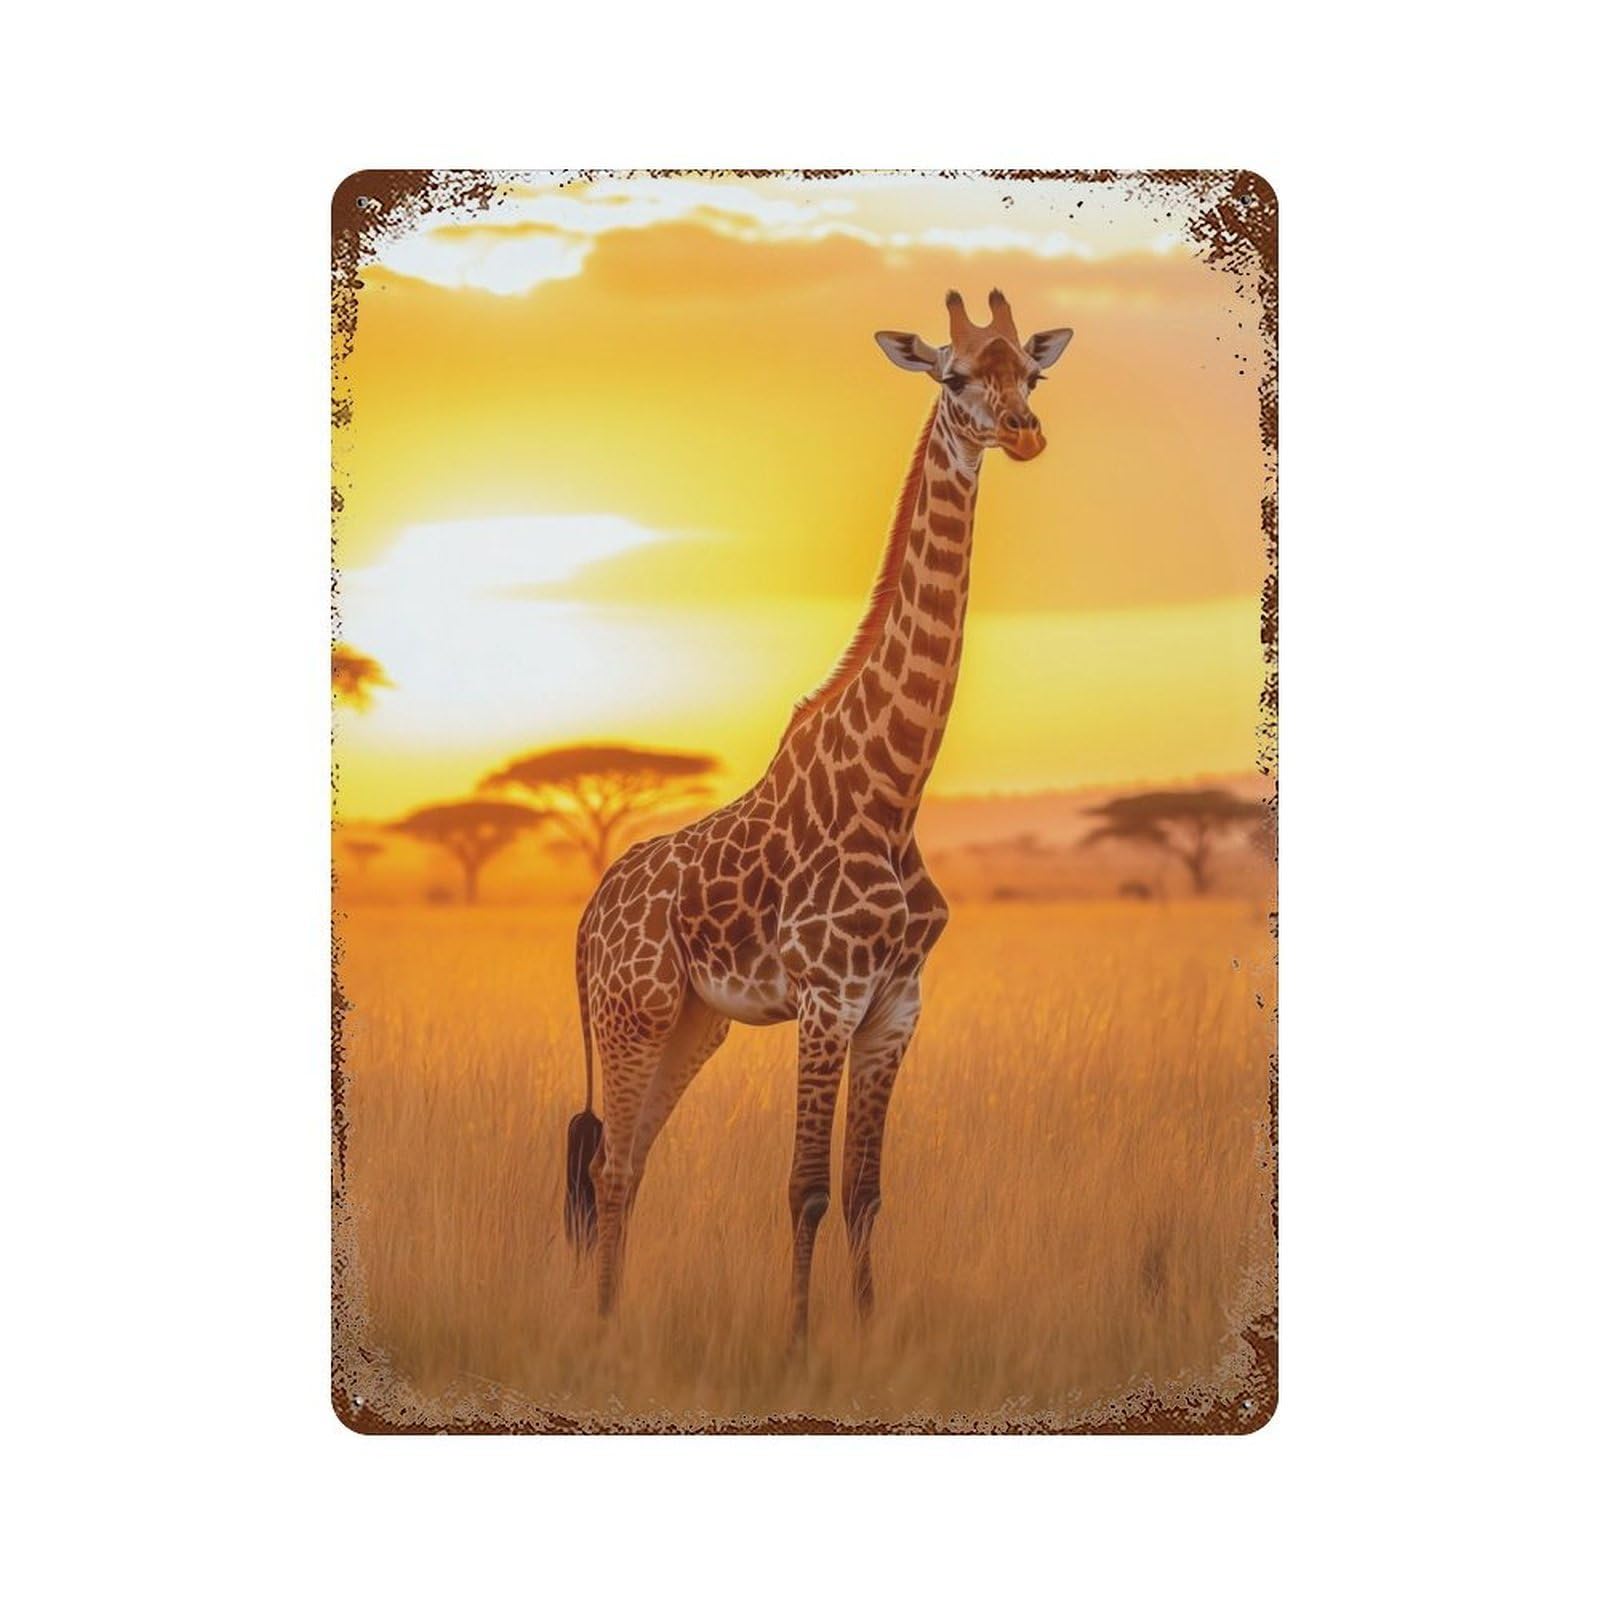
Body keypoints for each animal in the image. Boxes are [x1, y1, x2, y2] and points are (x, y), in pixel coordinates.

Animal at [565, 289, 1074, 1343]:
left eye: (1033, 375)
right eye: (955, 375)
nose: (1024, 431)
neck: (893, 788)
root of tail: (590, 915)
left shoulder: (897, 1007)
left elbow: (866, 1191)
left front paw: (869, 1335)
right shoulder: (827, 998)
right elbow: (803, 1186)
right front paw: (799, 1344)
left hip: (691, 1025)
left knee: (627, 1163)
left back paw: (614, 1319)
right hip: (632, 1012)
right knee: (611, 1165)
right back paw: (602, 1330)